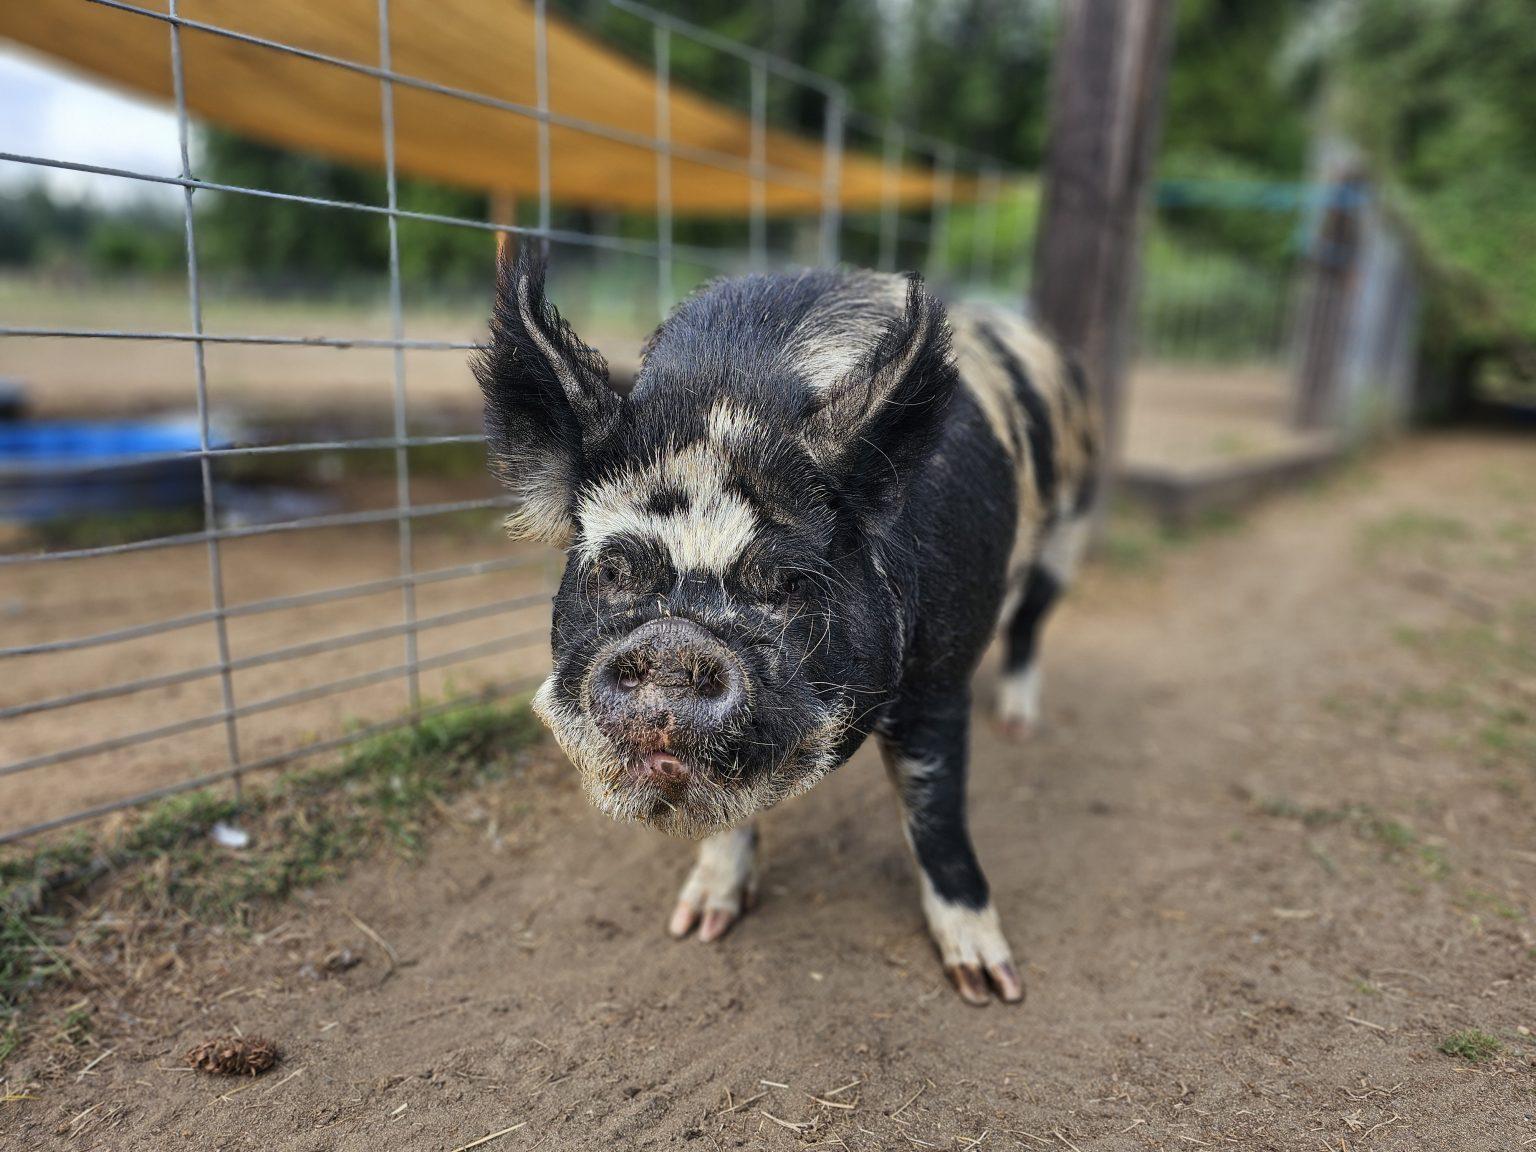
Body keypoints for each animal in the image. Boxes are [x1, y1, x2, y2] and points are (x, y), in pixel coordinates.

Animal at [475, 246, 1099, 1005]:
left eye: (789, 582)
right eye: (615, 571)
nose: (672, 643)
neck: (734, 397)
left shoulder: (939, 677)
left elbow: (937, 815)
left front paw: (990, 986)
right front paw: (698, 925)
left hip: (1071, 528)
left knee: (1031, 624)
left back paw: (1018, 725)